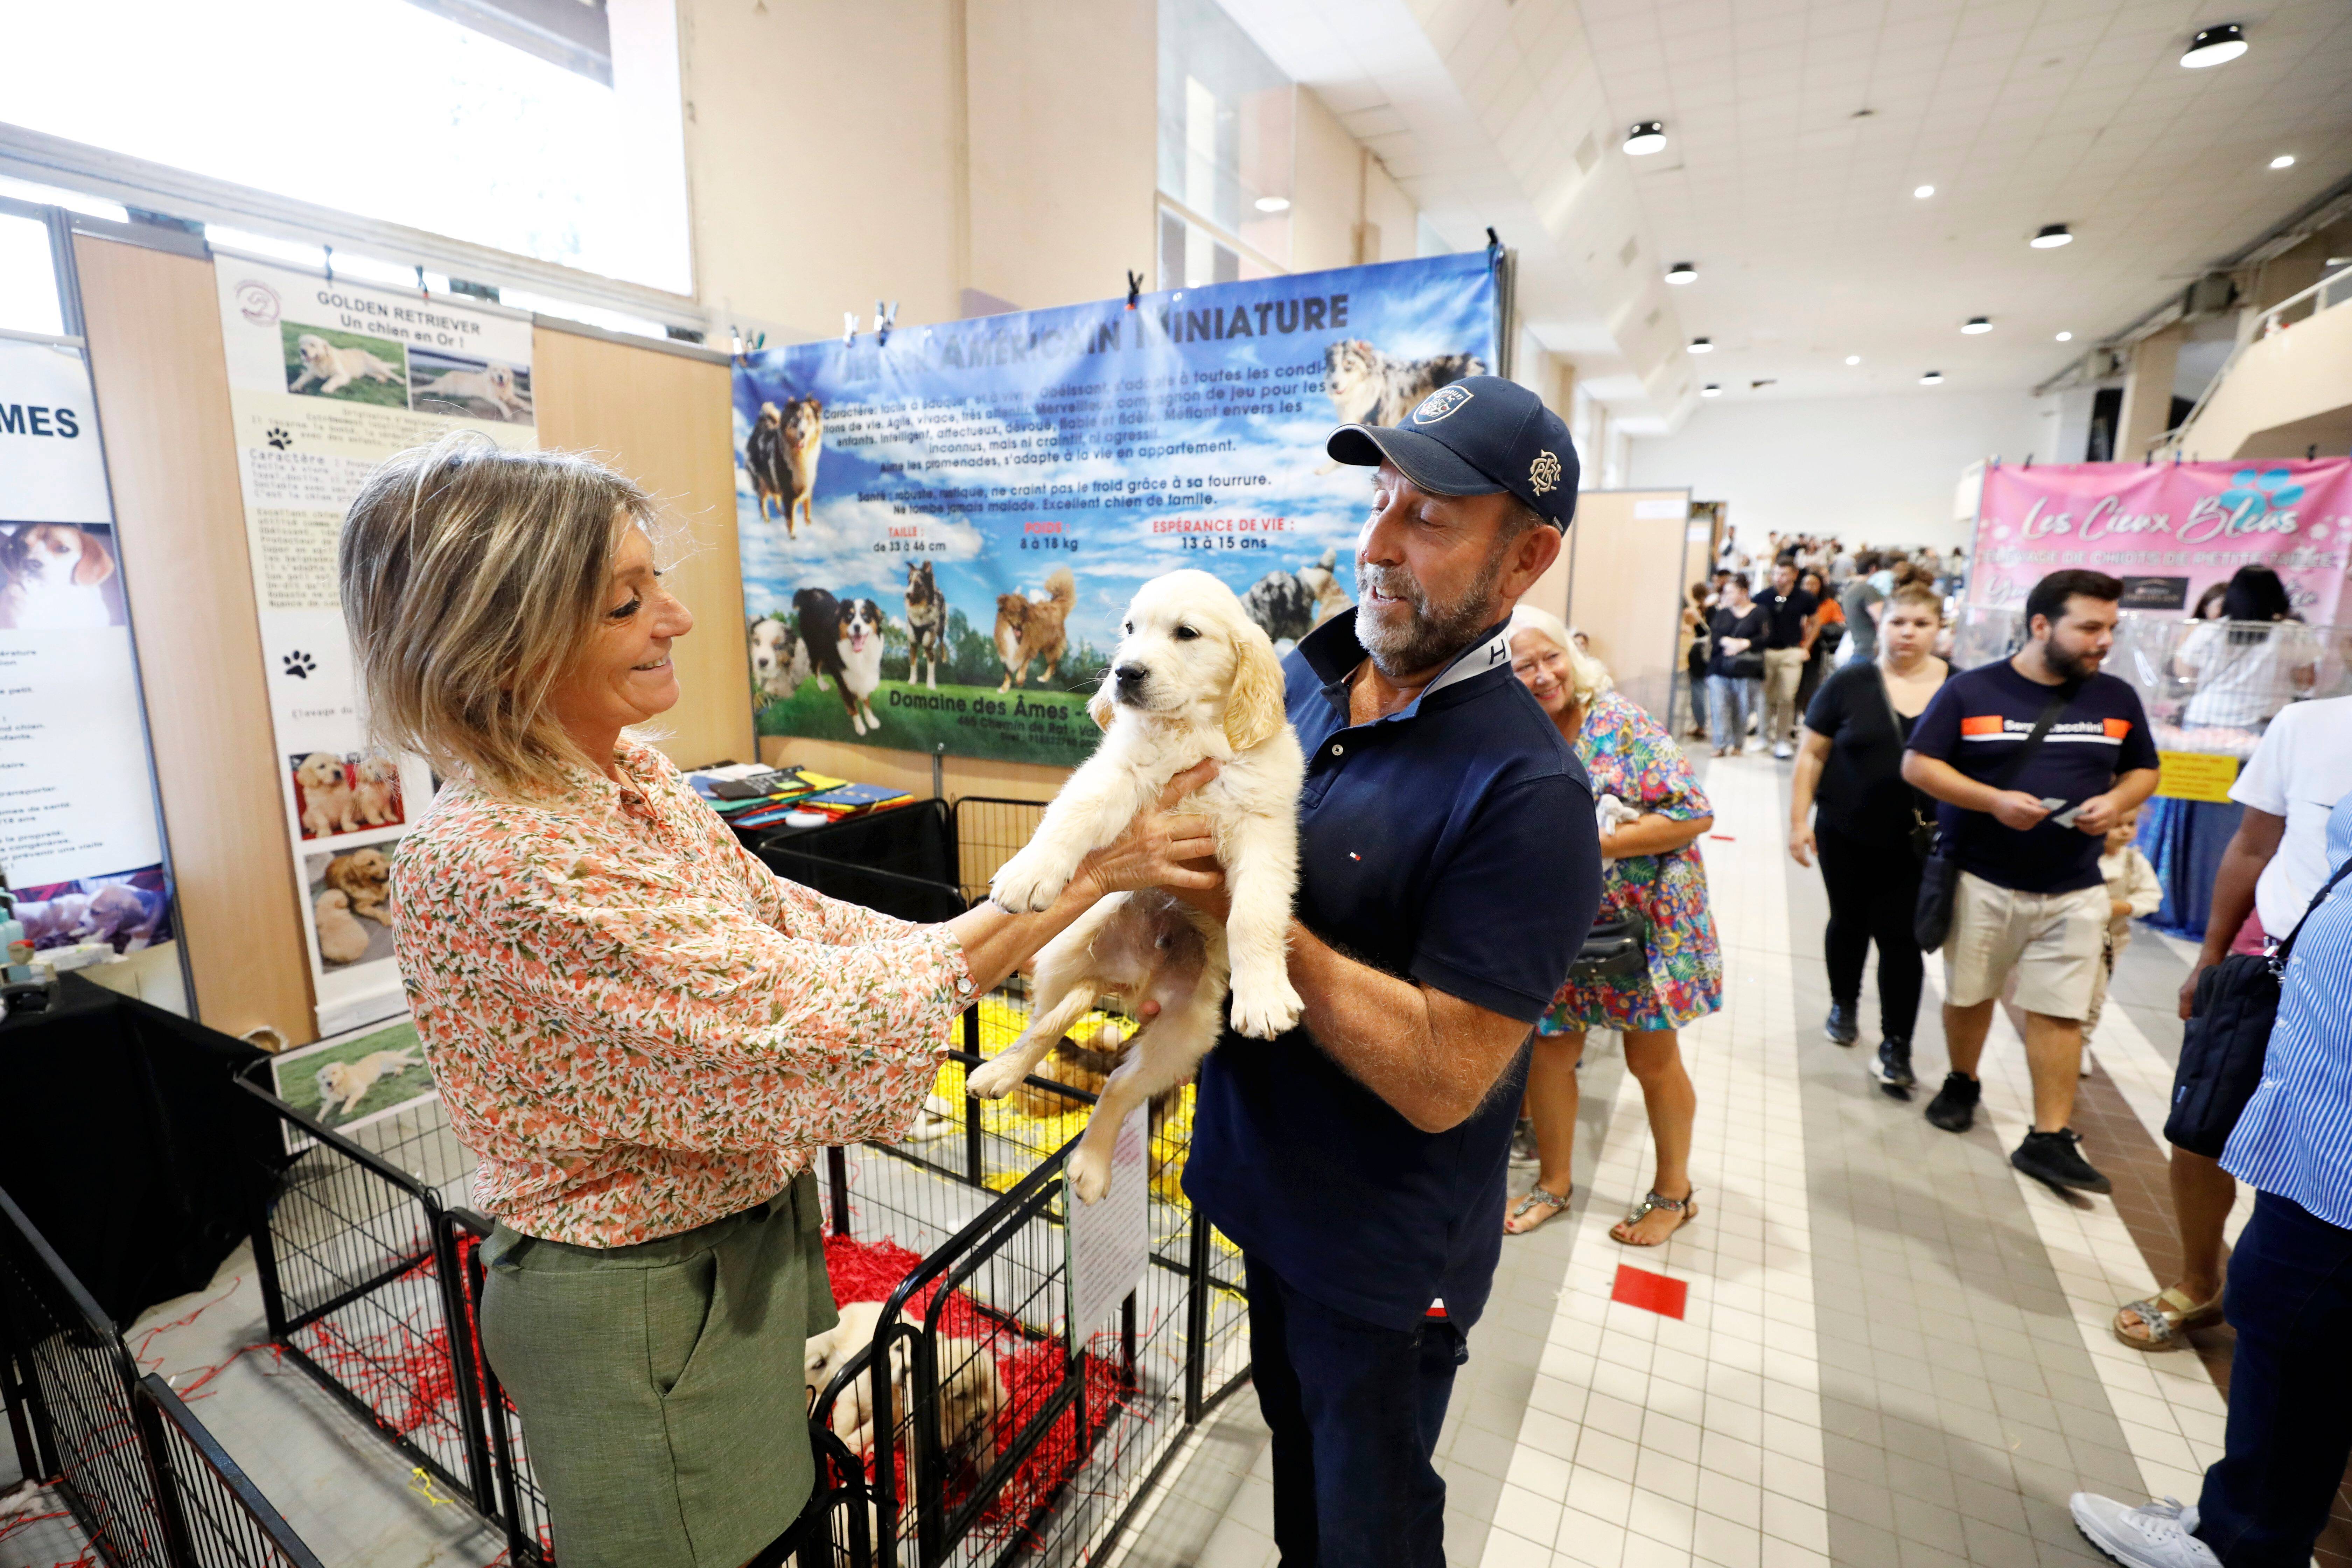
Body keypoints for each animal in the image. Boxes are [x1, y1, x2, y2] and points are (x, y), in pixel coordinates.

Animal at [969, 571, 1308, 1213]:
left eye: (1187, 634)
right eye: (1130, 629)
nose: (1125, 674)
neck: (1192, 733)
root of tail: (1132, 982)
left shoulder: (1264, 829)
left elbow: (1254, 915)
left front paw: (1264, 996)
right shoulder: (1116, 774)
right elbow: (1071, 817)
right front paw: (1030, 872)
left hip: (1185, 1032)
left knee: (1122, 1087)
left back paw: (1091, 1165)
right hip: (1066, 952)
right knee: (1045, 1026)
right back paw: (1000, 1072)